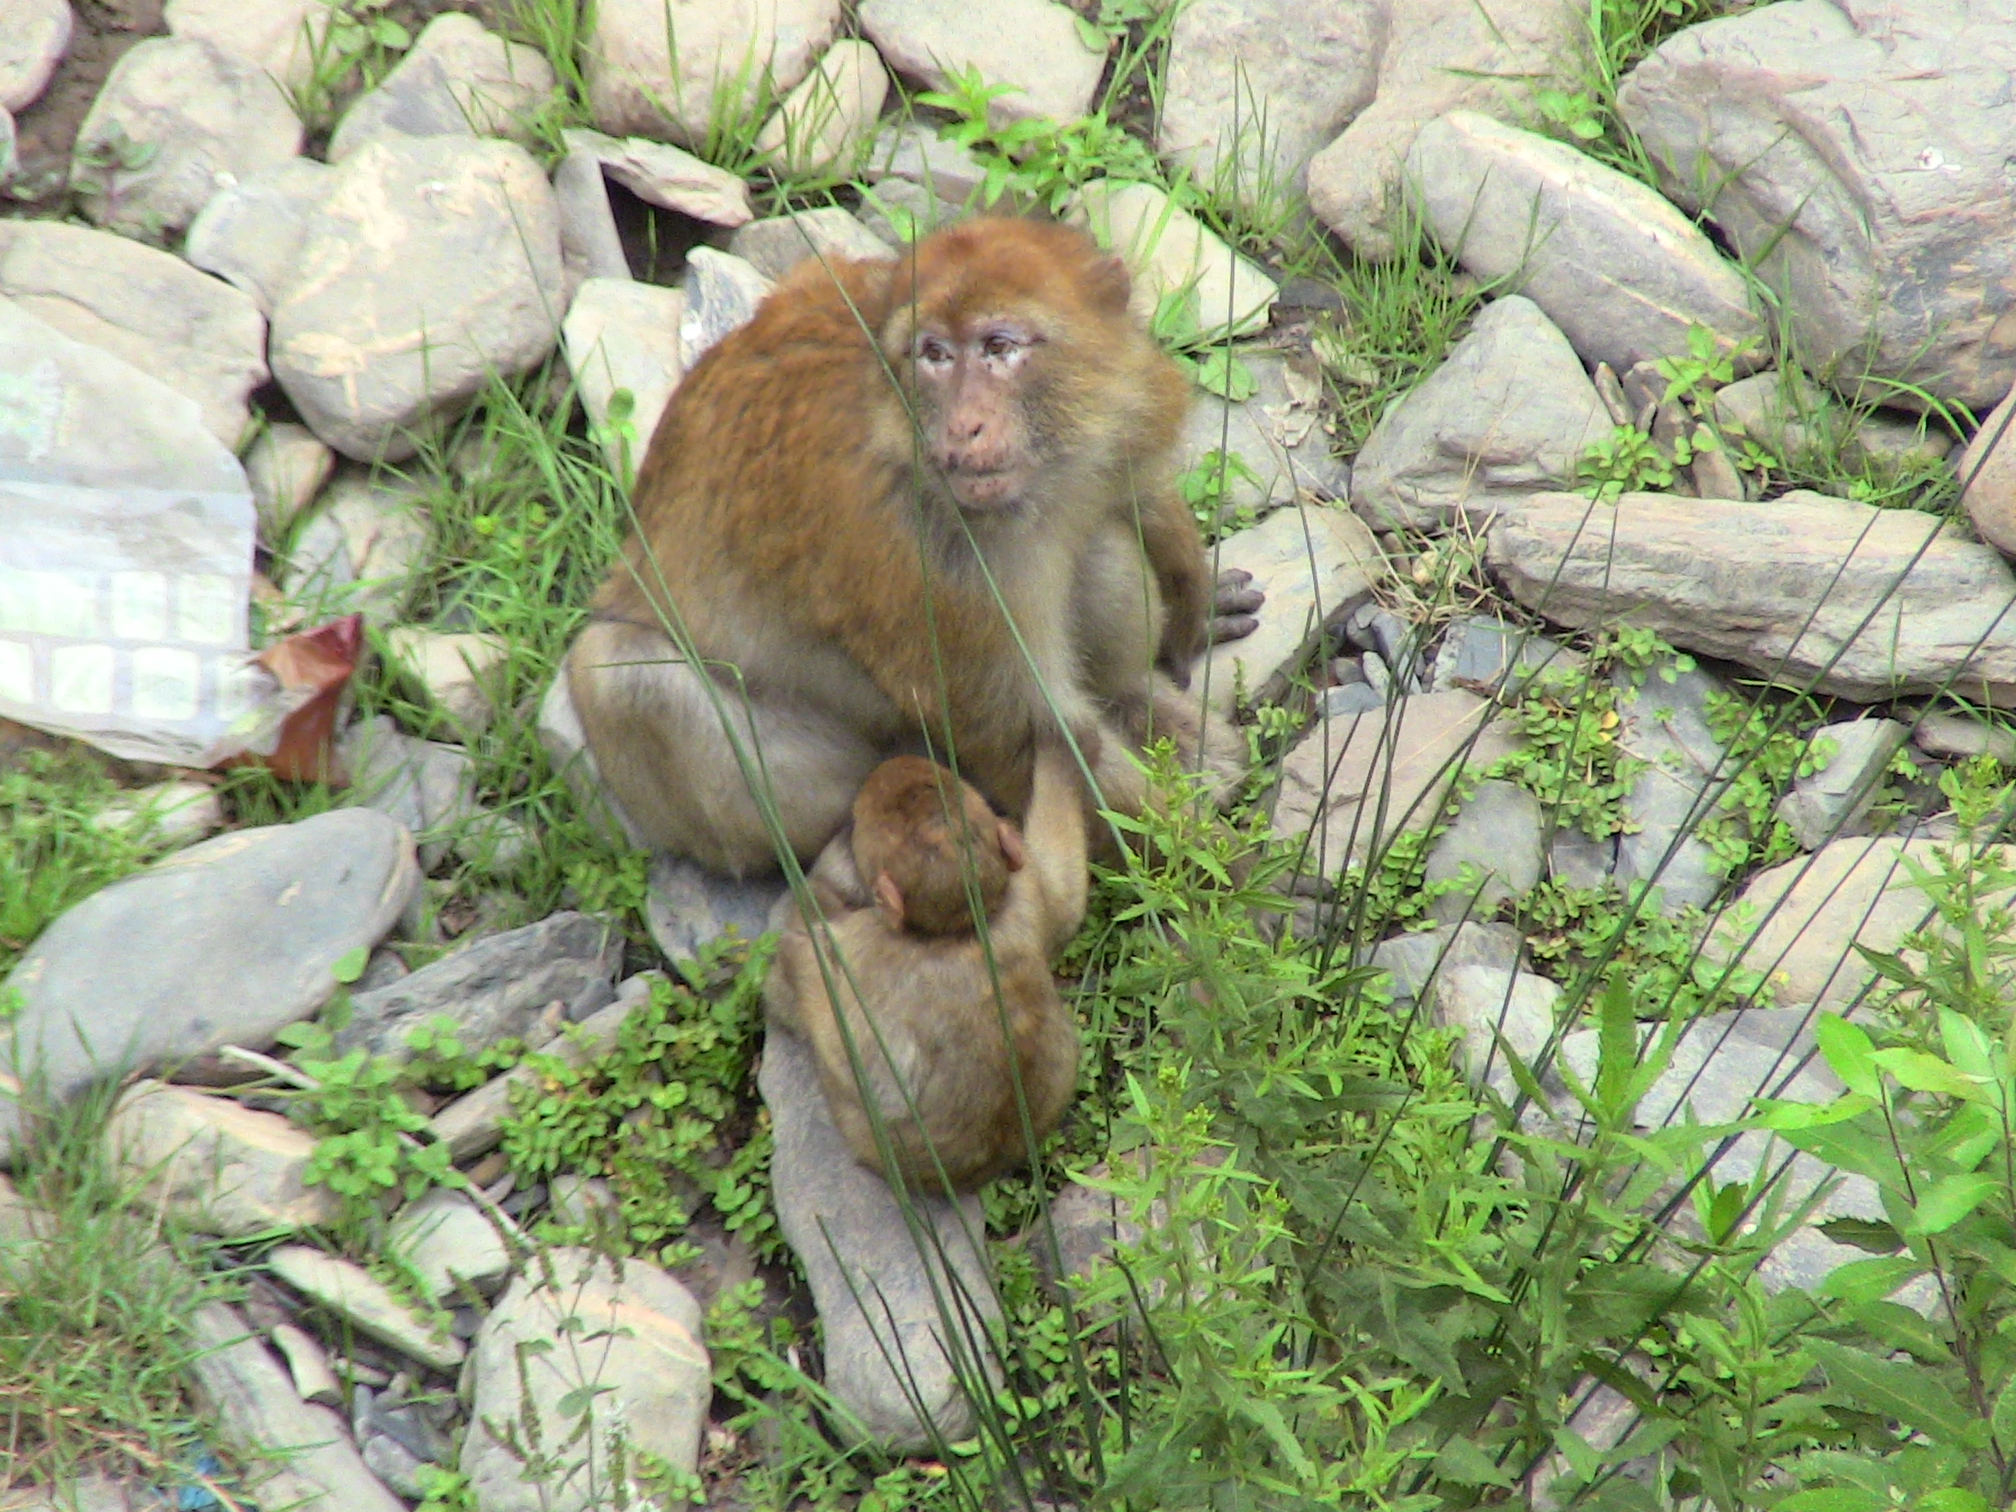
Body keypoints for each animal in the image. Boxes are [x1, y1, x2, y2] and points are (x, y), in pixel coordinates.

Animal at [565, 215, 1255, 878]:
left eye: (998, 347)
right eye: (935, 355)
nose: (963, 426)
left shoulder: (1120, 411)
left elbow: (1137, 495)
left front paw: (1194, 599)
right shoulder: (932, 565)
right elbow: (1042, 744)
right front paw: (1220, 876)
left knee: (1100, 548)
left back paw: (1142, 704)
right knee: (627, 677)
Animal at [763, 742, 1086, 1191]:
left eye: (861, 818)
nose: (895, 761)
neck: (965, 927)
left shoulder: (870, 945)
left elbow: (878, 1082)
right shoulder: (1025, 892)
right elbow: (1065, 895)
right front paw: (1062, 750)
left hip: (866, 1136)